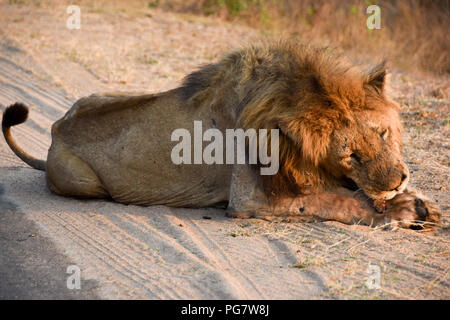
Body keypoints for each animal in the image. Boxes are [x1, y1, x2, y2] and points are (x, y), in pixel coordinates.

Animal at [0, 41, 440, 230]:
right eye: (351, 155)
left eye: (383, 133)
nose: (399, 179)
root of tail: (56, 128)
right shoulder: (248, 198)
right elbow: (330, 201)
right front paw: (404, 211)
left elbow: (341, 192)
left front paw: (414, 201)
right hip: (83, 182)